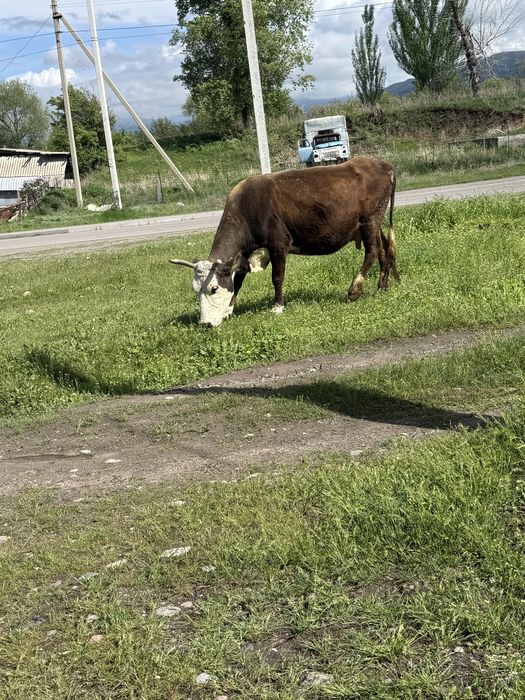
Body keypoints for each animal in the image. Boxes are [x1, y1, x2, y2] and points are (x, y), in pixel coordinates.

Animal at [170, 156, 398, 327]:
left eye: (213, 288)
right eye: (195, 289)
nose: (205, 323)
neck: (248, 208)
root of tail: (378, 163)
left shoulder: (278, 243)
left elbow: (277, 277)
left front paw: (277, 306)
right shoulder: (244, 254)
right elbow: (238, 280)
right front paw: (229, 309)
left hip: (370, 219)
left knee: (372, 252)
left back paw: (355, 289)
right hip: (372, 224)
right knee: (383, 249)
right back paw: (382, 286)